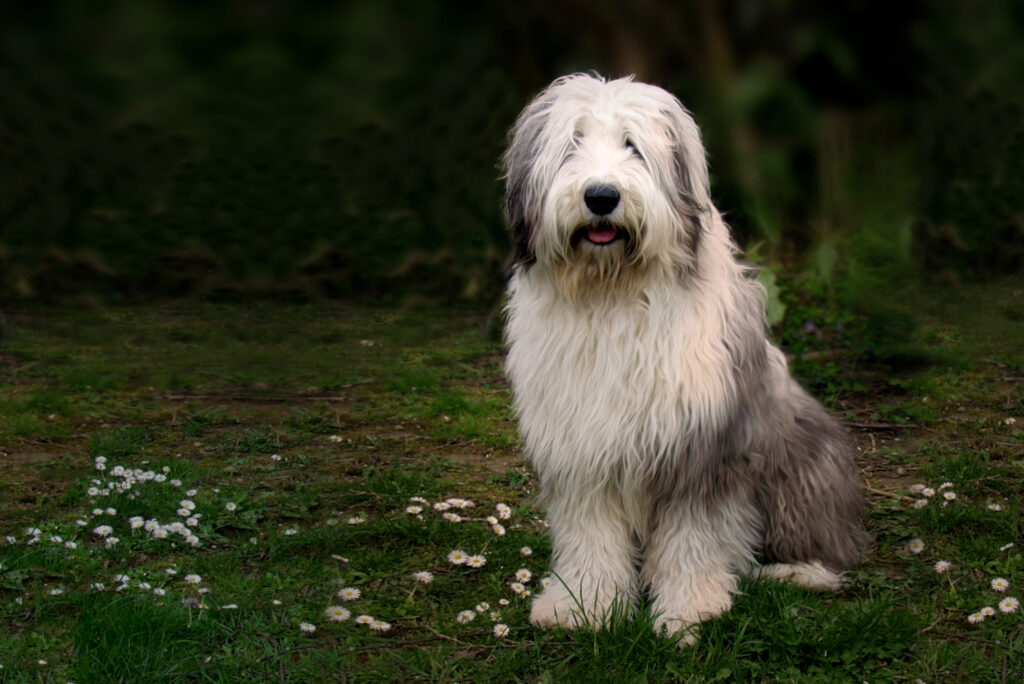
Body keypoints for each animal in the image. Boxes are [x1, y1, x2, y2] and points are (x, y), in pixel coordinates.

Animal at [499, 74, 868, 647]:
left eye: (633, 146)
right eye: (571, 145)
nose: (601, 196)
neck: (612, 295)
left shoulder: (702, 446)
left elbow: (694, 537)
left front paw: (688, 610)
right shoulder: (581, 447)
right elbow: (589, 533)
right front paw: (582, 605)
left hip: (803, 460)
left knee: (820, 541)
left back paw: (798, 571)